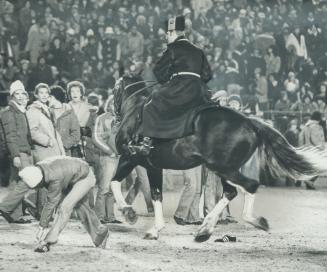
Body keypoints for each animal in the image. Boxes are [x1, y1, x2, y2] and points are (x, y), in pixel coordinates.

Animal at [110, 75, 327, 241]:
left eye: (114, 91)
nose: (114, 116)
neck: (135, 112)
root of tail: (250, 122)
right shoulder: (150, 165)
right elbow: (150, 192)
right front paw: (147, 223)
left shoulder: (133, 159)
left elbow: (118, 184)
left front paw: (131, 214)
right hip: (224, 170)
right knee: (231, 192)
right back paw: (207, 228)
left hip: (223, 168)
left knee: (248, 186)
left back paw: (228, 224)